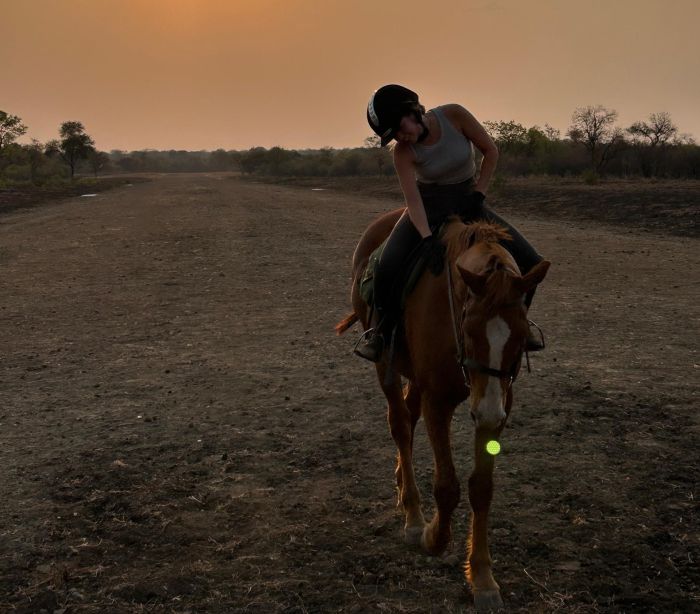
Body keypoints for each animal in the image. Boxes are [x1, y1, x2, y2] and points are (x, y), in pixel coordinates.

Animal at [335, 209, 550, 611]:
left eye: (519, 335)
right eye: (468, 328)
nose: (487, 411)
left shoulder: (497, 404)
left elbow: (481, 488)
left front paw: (482, 578)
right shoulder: (440, 400)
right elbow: (447, 486)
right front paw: (434, 536)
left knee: (408, 416)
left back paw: (403, 489)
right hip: (385, 365)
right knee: (399, 424)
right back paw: (413, 515)